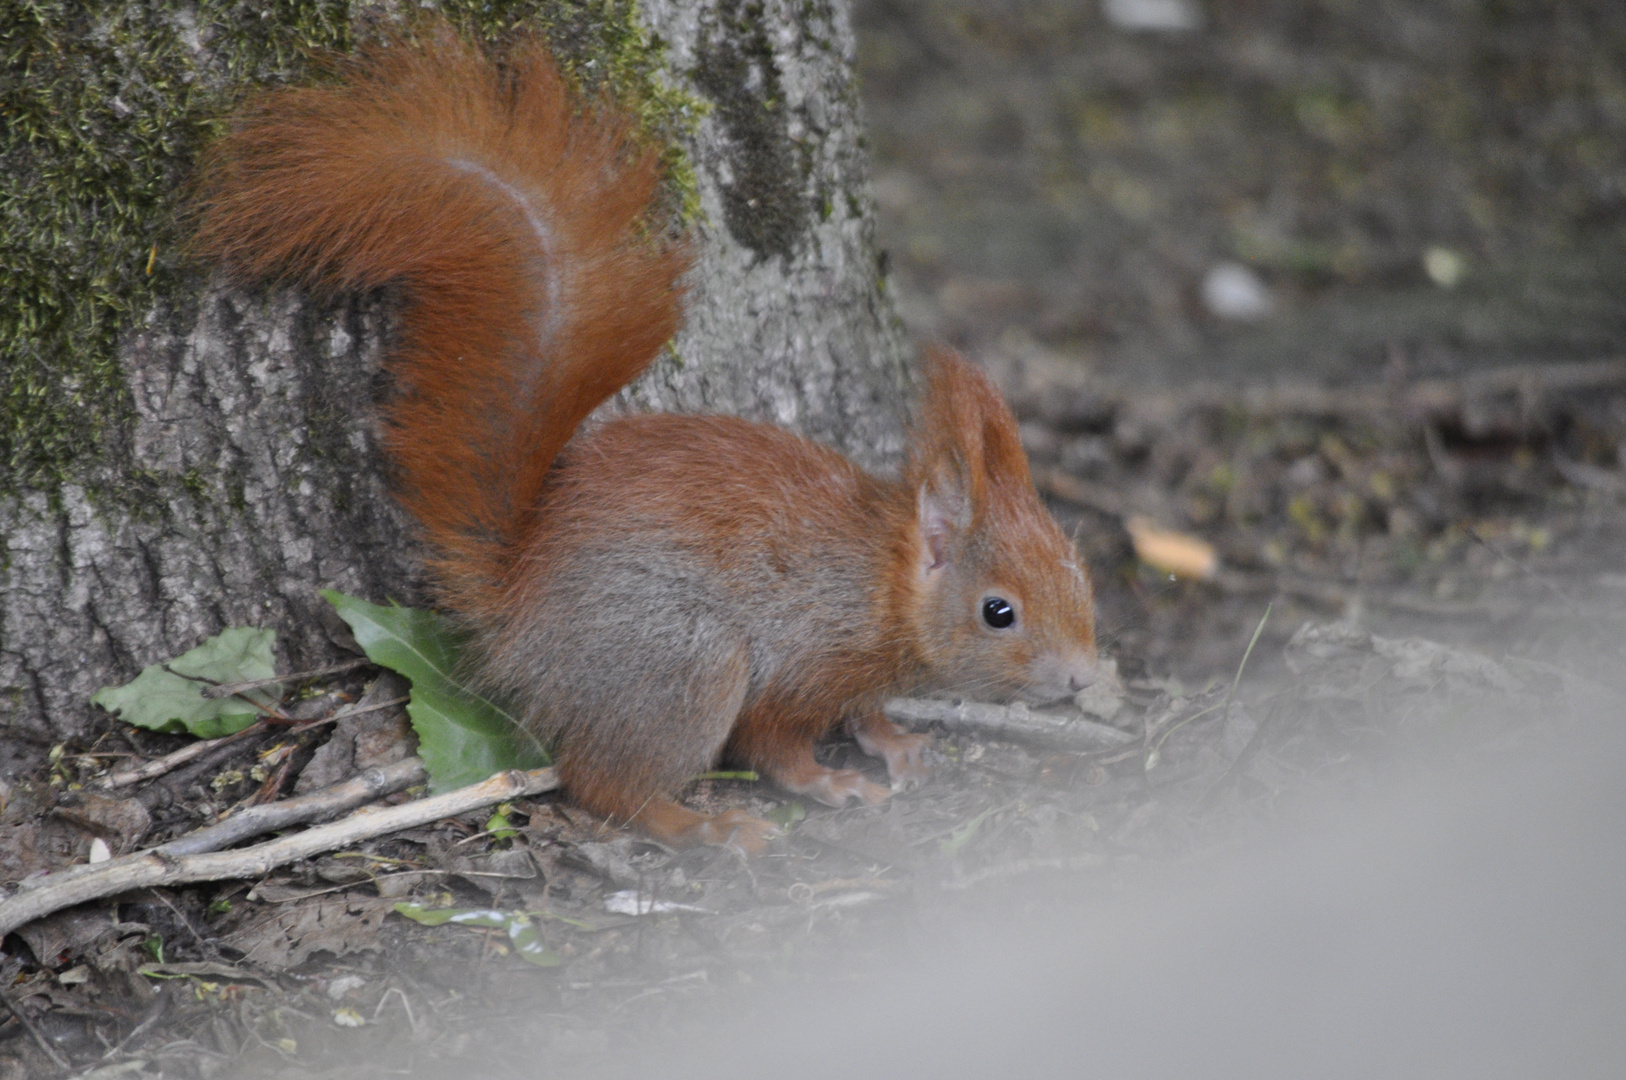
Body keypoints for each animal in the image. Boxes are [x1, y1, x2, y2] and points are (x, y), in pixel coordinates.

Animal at [196, 19, 1099, 852]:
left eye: (1080, 573)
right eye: (998, 613)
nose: (1086, 678)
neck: (876, 583)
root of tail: (518, 597)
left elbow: (868, 710)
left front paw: (897, 742)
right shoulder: (799, 662)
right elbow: (774, 744)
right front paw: (827, 783)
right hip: (683, 662)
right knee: (604, 783)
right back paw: (703, 826)